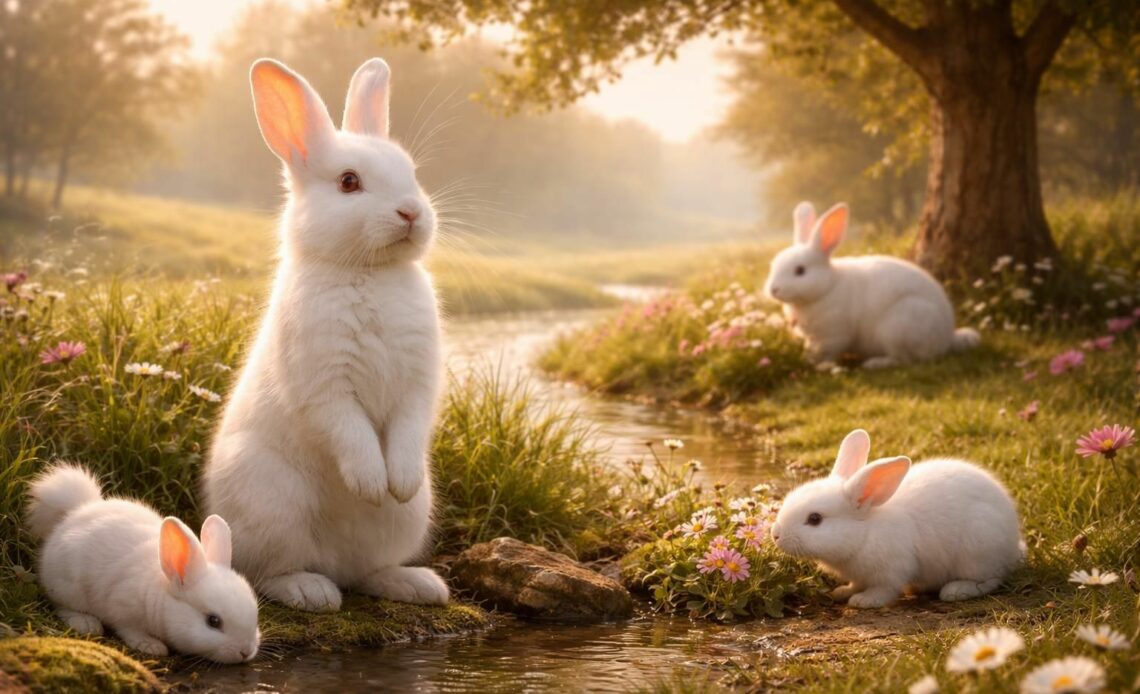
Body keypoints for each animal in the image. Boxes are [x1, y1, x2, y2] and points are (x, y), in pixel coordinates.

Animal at [26, 463, 260, 662]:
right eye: (213, 621)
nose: (245, 651)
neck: (161, 589)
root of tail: (76, 511)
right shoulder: (122, 608)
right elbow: (129, 629)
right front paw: (151, 646)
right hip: (68, 587)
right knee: (61, 606)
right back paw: (87, 624)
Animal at [201, 57, 449, 613]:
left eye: (413, 174)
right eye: (349, 182)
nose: (411, 212)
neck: (368, 272)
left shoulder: (418, 383)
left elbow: (408, 426)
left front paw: (398, 482)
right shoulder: (324, 383)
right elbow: (349, 430)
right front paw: (371, 484)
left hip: (407, 520)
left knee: (366, 573)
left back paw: (417, 585)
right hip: (272, 501)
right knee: (268, 572)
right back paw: (311, 591)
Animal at [763, 202, 979, 369]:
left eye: (800, 270)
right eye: (773, 264)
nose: (774, 289)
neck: (826, 287)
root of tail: (947, 337)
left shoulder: (834, 335)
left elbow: (827, 354)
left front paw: (819, 366)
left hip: (900, 327)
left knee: (907, 360)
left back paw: (874, 363)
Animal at [770, 429, 1024, 608]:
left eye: (815, 519)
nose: (775, 535)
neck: (865, 531)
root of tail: (1013, 544)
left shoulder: (892, 569)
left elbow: (885, 589)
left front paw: (864, 601)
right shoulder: (861, 575)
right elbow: (856, 584)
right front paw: (842, 592)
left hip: (977, 550)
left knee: (992, 579)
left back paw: (955, 590)